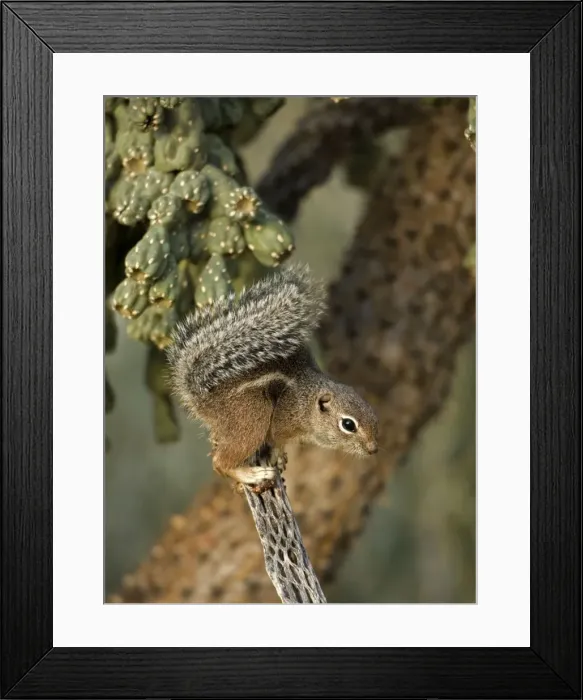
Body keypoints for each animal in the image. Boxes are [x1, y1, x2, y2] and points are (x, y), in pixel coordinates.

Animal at [168, 264, 378, 490]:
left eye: (374, 416)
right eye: (348, 425)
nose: (374, 449)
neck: (306, 400)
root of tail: (202, 397)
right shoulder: (282, 420)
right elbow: (277, 440)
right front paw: (277, 456)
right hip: (252, 415)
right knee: (220, 462)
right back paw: (250, 475)